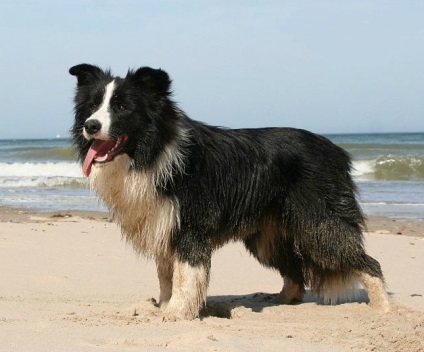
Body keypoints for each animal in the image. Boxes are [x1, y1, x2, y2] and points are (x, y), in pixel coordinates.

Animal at [69, 63, 390, 320]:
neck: (153, 150)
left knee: (366, 261)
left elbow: (184, 274)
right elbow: (166, 275)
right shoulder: (163, 223)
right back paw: (281, 300)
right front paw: (164, 306)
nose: (91, 125)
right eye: (92, 105)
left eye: (122, 107)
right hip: (268, 236)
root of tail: (337, 151)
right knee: (295, 269)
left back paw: (383, 309)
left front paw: (176, 313)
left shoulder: (191, 225)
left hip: (318, 221)